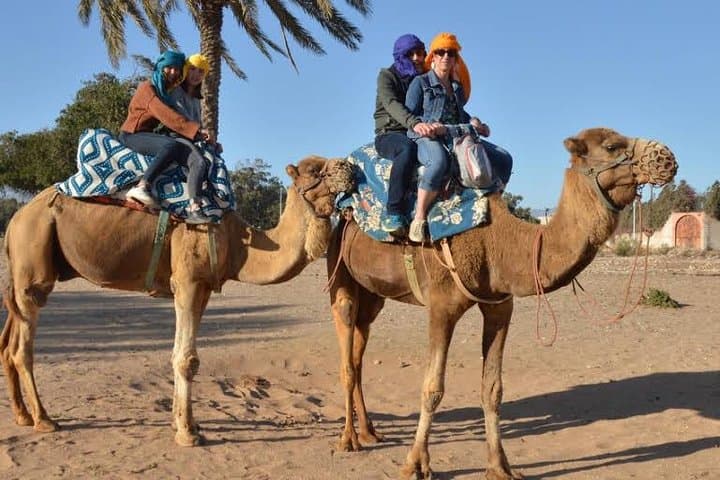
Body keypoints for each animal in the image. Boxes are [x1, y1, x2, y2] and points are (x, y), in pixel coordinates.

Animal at [0, 155, 353, 446]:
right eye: (316, 170)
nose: (350, 167)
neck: (239, 243)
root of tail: (17, 218)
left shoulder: (204, 288)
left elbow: (179, 354)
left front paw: (185, 423)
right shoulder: (188, 281)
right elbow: (187, 359)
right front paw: (187, 434)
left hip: (23, 274)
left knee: (9, 342)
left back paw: (23, 415)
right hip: (34, 261)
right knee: (21, 349)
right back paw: (44, 419)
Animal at [326, 128, 678, 479]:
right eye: (611, 145)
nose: (666, 157)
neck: (498, 243)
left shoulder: (499, 307)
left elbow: (493, 389)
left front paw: (499, 466)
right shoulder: (441, 306)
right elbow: (432, 388)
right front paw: (415, 464)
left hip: (373, 294)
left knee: (358, 351)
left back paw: (369, 432)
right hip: (339, 270)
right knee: (346, 356)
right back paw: (348, 439)